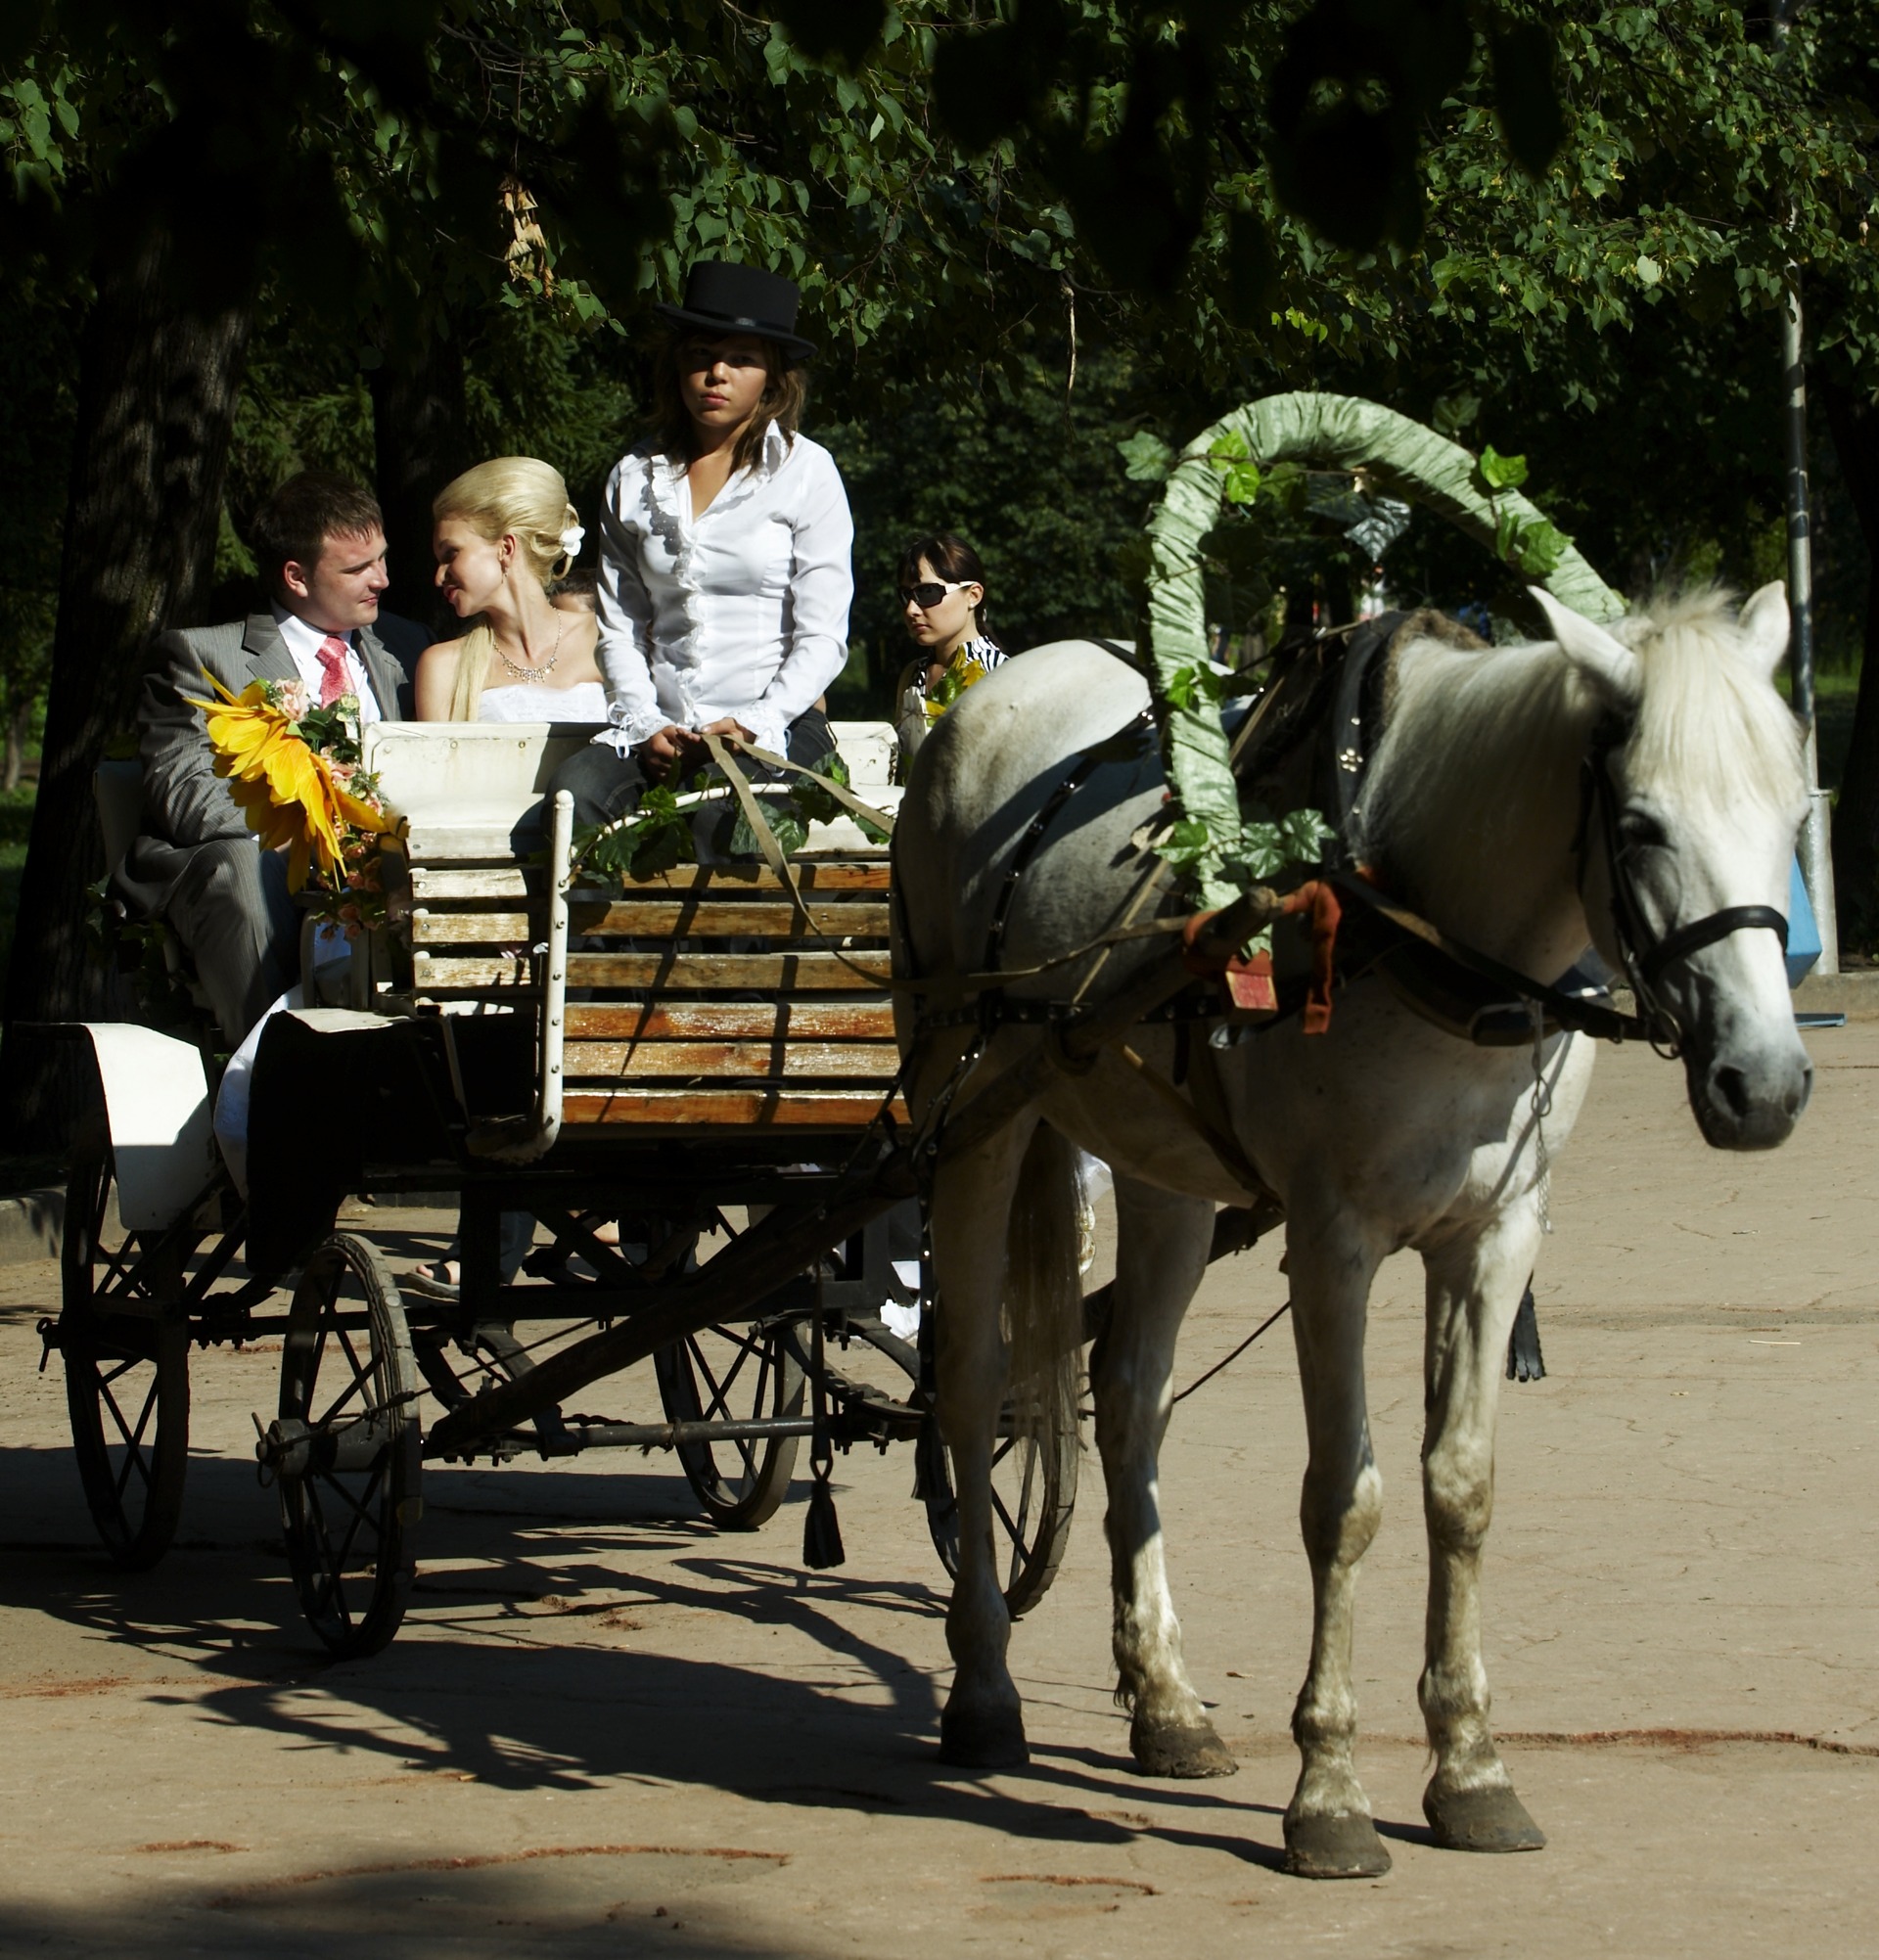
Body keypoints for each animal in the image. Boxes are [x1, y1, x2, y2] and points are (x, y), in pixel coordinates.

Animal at [904, 587, 1817, 1873]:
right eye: (1638, 825)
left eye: (1795, 814)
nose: (1766, 1084)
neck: (1419, 919)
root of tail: (995, 689)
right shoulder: (1333, 1242)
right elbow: (1346, 1499)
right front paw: (1328, 1787)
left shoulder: (1495, 1235)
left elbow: (1460, 1489)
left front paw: (1471, 1766)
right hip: (970, 1103)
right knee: (977, 1383)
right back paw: (984, 1686)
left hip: (1161, 1157)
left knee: (1128, 1393)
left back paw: (1165, 1698)